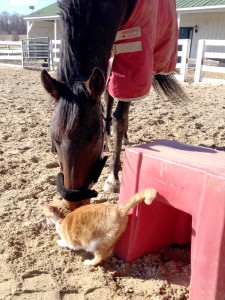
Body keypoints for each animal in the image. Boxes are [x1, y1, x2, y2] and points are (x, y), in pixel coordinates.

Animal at [41, 0, 185, 210]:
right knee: (108, 96)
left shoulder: (136, 55)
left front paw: (113, 178)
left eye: (94, 138)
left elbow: (120, 118)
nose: (75, 204)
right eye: (55, 139)